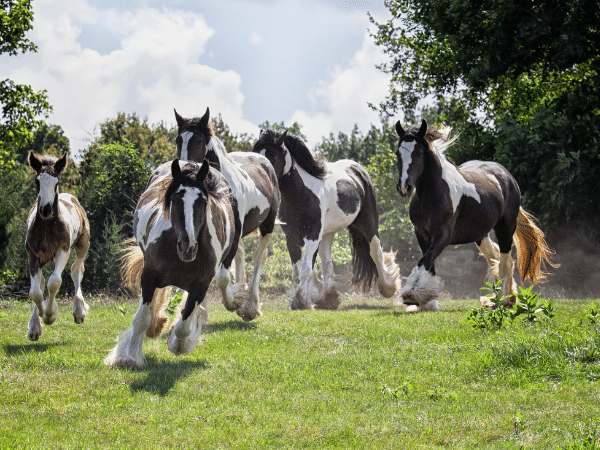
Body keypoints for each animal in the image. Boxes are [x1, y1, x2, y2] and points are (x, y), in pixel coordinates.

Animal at [24, 151, 89, 342]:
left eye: (57, 182)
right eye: (37, 181)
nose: (45, 209)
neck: (47, 227)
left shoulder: (63, 250)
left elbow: (54, 282)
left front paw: (50, 315)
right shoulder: (32, 255)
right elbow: (35, 291)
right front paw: (38, 320)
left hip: (83, 244)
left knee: (76, 270)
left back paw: (79, 311)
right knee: (40, 282)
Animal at [104, 160, 236, 368]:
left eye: (202, 201)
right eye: (175, 199)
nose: (188, 248)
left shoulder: (200, 285)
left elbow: (184, 324)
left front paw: (178, 344)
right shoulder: (149, 276)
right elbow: (141, 318)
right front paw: (128, 357)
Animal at [171, 107, 278, 322]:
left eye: (199, 140)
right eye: (178, 140)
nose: (184, 170)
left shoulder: (234, 234)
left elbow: (222, 278)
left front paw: (235, 302)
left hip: (267, 226)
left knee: (258, 258)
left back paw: (250, 305)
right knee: (242, 255)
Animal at [251, 129, 400, 310]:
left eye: (273, 156)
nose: (261, 177)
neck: (301, 194)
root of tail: (357, 169)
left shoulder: (312, 236)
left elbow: (306, 270)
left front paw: (301, 301)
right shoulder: (291, 238)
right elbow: (298, 272)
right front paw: (306, 298)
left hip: (368, 223)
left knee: (376, 251)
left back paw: (388, 288)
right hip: (327, 234)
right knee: (327, 263)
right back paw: (329, 298)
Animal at [392, 118, 556, 312]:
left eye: (418, 153)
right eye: (397, 153)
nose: (404, 188)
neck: (432, 194)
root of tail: (507, 177)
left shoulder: (443, 235)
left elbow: (424, 261)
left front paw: (411, 295)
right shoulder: (422, 234)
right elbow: (428, 263)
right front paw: (426, 302)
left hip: (505, 227)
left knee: (505, 261)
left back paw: (505, 300)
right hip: (481, 234)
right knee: (495, 257)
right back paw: (499, 298)